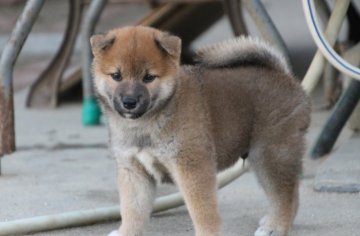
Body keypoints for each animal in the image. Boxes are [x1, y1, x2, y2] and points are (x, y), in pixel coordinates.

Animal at [89, 25, 310, 236]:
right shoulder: (133, 170)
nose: (129, 102)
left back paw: (276, 227)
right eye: (116, 76)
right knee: (292, 194)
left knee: (285, 195)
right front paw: (127, 232)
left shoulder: (192, 167)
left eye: (149, 78)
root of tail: (283, 75)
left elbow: (203, 211)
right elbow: (132, 210)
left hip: (270, 155)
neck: (147, 123)